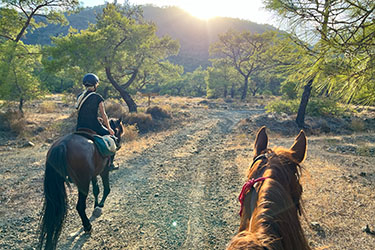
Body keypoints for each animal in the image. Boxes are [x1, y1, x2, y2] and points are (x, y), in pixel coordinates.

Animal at [38, 119, 124, 250]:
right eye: (119, 131)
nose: (119, 144)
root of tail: (62, 145)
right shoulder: (103, 171)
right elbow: (106, 189)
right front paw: (100, 204)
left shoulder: (93, 175)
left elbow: (96, 190)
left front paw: (96, 205)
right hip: (83, 183)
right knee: (80, 206)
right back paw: (87, 227)